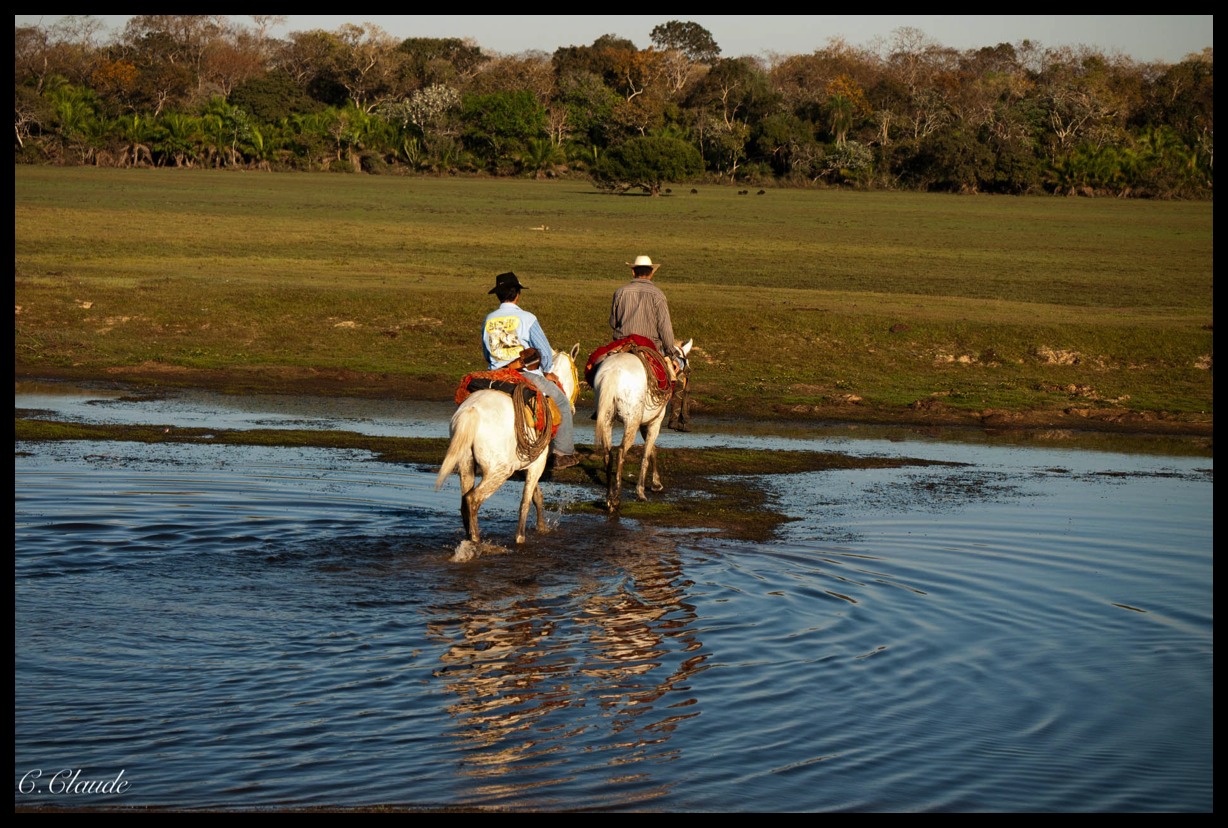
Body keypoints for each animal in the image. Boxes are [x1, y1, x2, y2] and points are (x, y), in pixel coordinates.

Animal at [437, 339, 579, 540]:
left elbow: (536, 496)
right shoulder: (537, 464)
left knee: (465, 501)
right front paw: (521, 537)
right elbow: (526, 502)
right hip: (499, 470)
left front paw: (542, 528)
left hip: (466, 464)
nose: (573, 408)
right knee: (473, 499)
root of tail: (471, 412)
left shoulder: (529, 462)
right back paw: (477, 540)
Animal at [591, 336, 692, 508]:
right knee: (620, 452)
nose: (687, 376)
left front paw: (656, 483)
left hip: (606, 420)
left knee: (607, 454)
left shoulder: (645, 424)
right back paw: (616, 497)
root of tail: (613, 373)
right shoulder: (655, 422)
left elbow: (652, 451)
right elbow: (646, 454)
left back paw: (608, 497)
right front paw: (641, 490)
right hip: (631, 421)